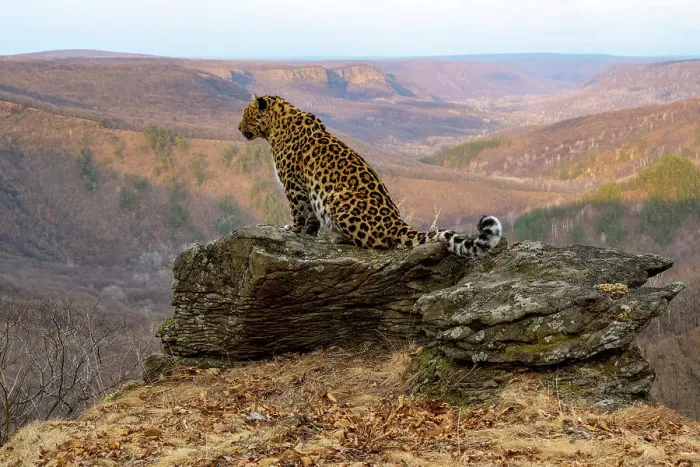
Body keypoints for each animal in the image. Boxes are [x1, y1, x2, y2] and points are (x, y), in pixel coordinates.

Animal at [238, 94, 502, 258]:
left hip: (338, 200)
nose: (238, 128)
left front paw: (294, 230)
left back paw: (337, 238)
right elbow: (311, 216)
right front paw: (308, 233)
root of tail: (396, 222)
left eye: (245, 114)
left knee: (378, 243)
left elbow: (300, 210)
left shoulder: (294, 184)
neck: (277, 125)